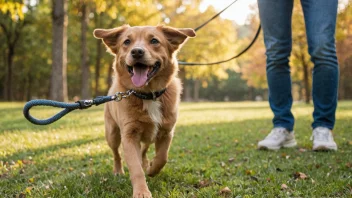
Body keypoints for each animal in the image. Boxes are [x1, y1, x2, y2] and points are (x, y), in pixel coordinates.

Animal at [93, 25, 195, 197]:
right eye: (127, 42)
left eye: (154, 41)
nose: (137, 52)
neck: (148, 94)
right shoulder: (129, 135)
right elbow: (136, 169)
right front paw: (141, 191)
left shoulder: (166, 132)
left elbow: (162, 157)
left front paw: (152, 169)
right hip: (112, 134)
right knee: (116, 154)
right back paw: (118, 171)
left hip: (149, 135)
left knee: (144, 150)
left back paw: (146, 163)